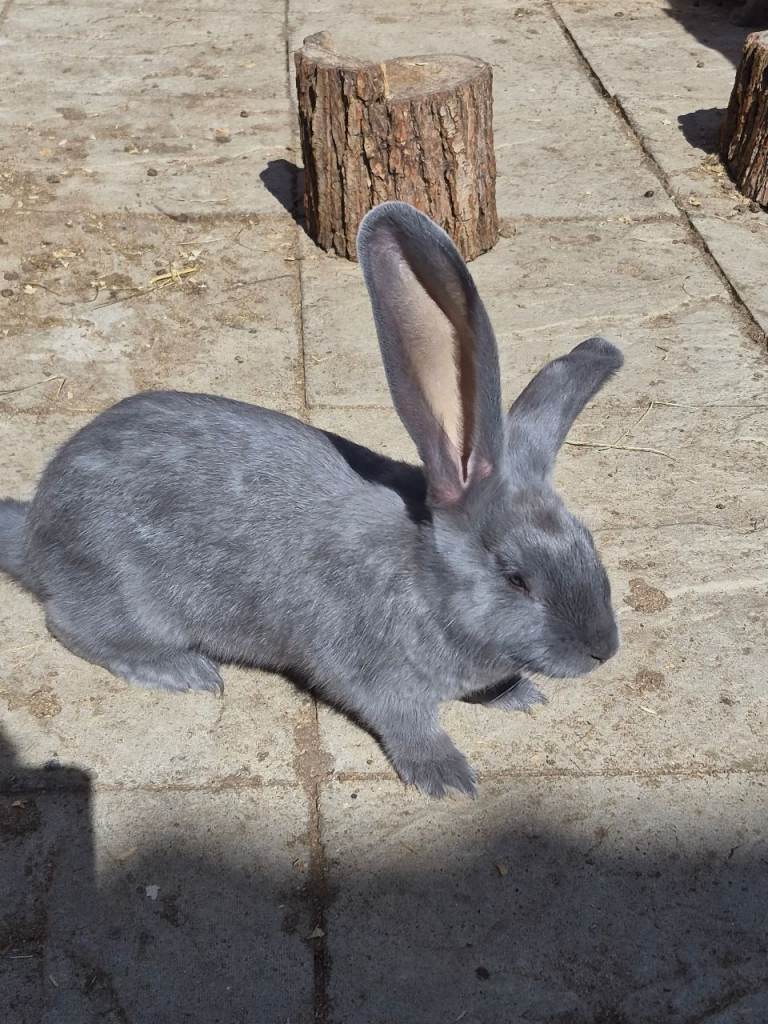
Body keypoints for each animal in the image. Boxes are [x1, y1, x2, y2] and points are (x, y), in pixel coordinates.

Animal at [0, 201, 622, 798]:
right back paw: (184, 671)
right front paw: (447, 777)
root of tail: (33, 533)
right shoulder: (376, 676)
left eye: (588, 544)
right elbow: (409, 724)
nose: (604, 650)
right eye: (515, 578)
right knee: (69, 625)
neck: (425, 578)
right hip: (123, 594)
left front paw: (519, 694)